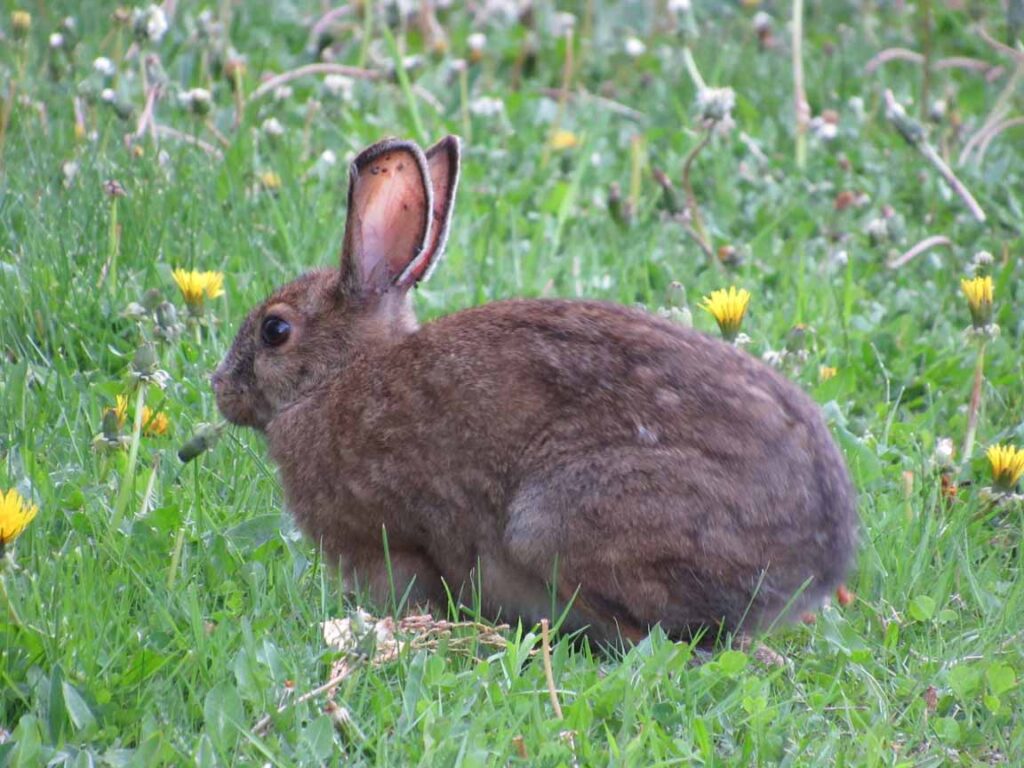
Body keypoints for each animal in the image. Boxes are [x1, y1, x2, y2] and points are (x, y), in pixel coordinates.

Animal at [214, 135, 856, 647]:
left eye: (275, 331)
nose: (220, 387)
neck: (339, 376)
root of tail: (818, 561)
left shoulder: (391, 543)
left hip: (555, 521)